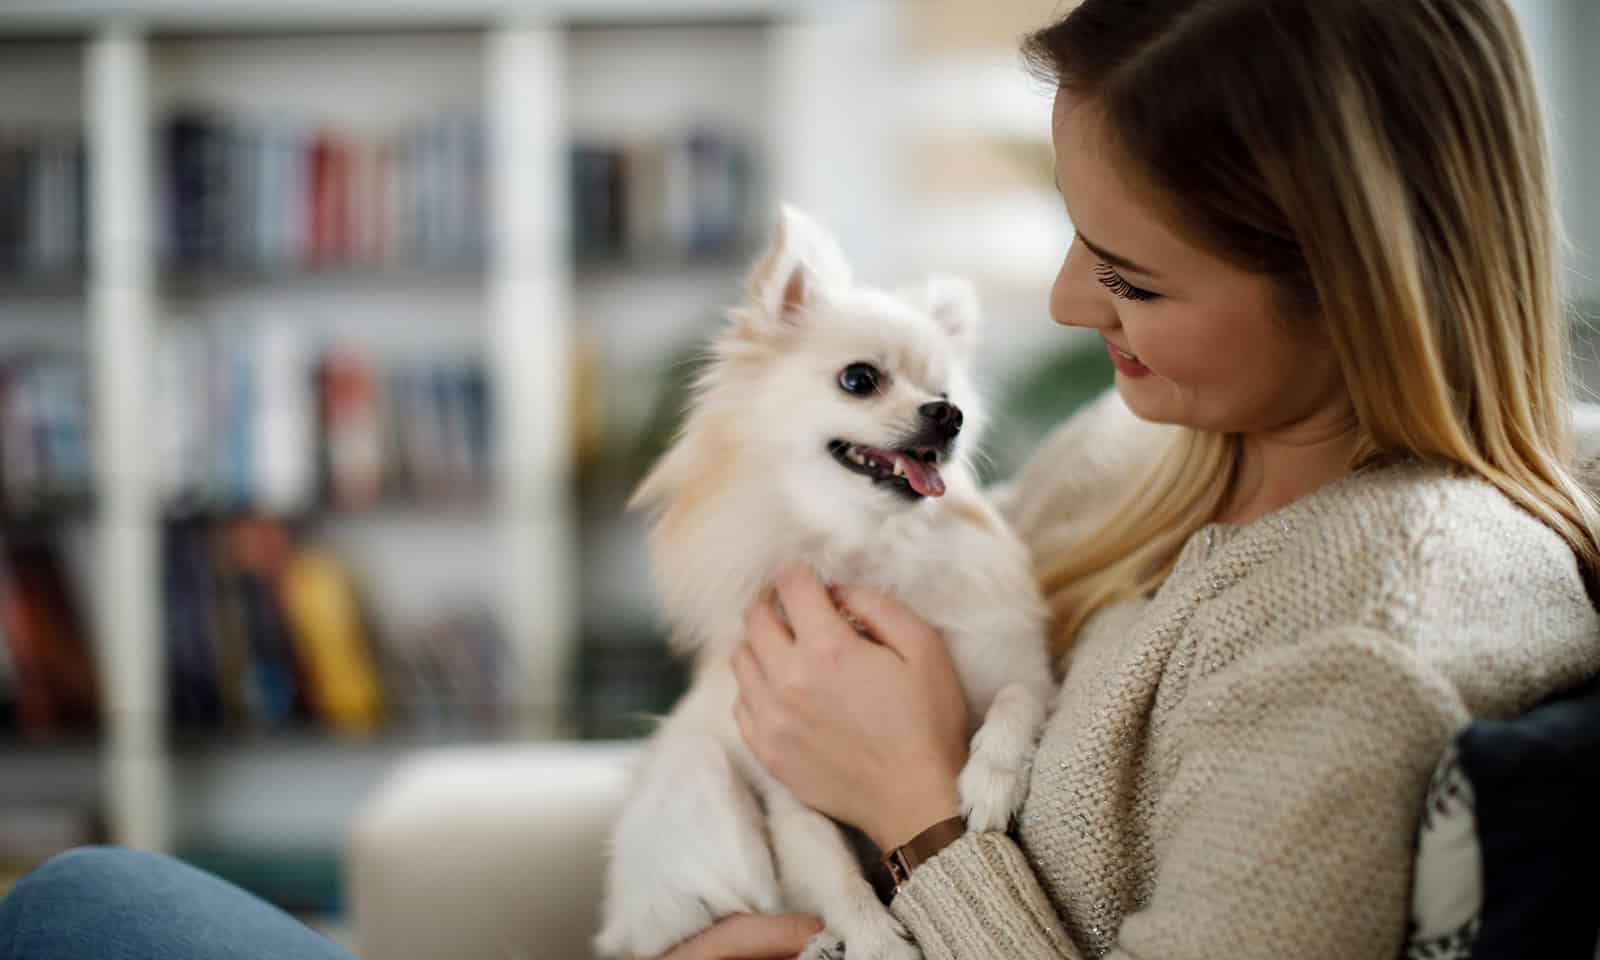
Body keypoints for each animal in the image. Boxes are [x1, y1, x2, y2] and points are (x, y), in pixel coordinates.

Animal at [595, 206, 1056, 953]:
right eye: (859, 379)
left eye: (947, 395)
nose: (948, 417)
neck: (868, 543)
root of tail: (623, 927)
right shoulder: (790, 790)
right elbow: (830, 872)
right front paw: (875, 942)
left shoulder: (1015, 667)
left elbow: (1019, 699)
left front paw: (991, 780)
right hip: (703, 781)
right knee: (748, 907)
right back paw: (816, 944)